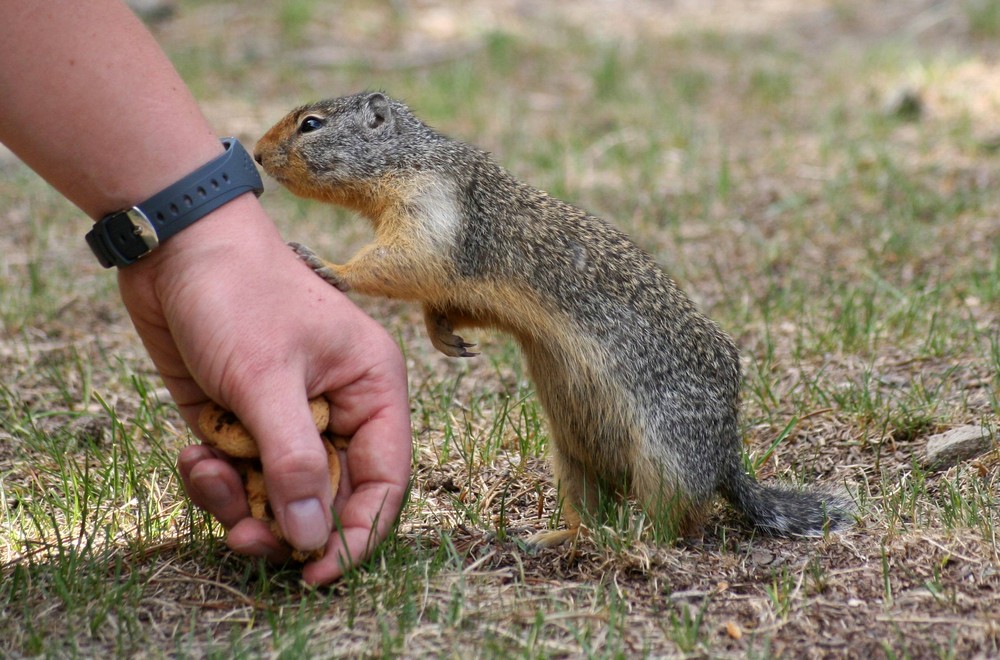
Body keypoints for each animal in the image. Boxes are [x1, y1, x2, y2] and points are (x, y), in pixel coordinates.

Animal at [254, 91, 856, 548]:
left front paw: (327, 265)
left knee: (682, 521)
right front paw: (443, 334)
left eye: (311, 124)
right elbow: (447, 298)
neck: (410, 158)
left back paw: (638, 540)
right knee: (594, 510)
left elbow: (403, 260)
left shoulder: (430, 211)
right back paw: (554, 537)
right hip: (573, 462)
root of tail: (726, 452)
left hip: (666, 455)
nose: (256, 154)